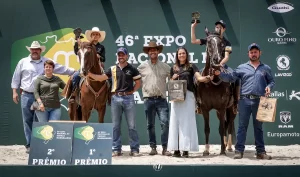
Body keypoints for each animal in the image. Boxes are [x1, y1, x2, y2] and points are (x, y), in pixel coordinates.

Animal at [195, 27, 239, 155]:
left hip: (231, 109)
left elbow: (221, 129)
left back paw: (228, 147)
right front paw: (206, 150)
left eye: (222, 44)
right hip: (220, 112)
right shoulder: (205, 109)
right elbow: (207, 129)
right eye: (209, 42)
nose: (217, 60)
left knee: (229, 125)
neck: (212, 82)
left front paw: (222, 150)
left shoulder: (222, 107)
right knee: (226, 124)